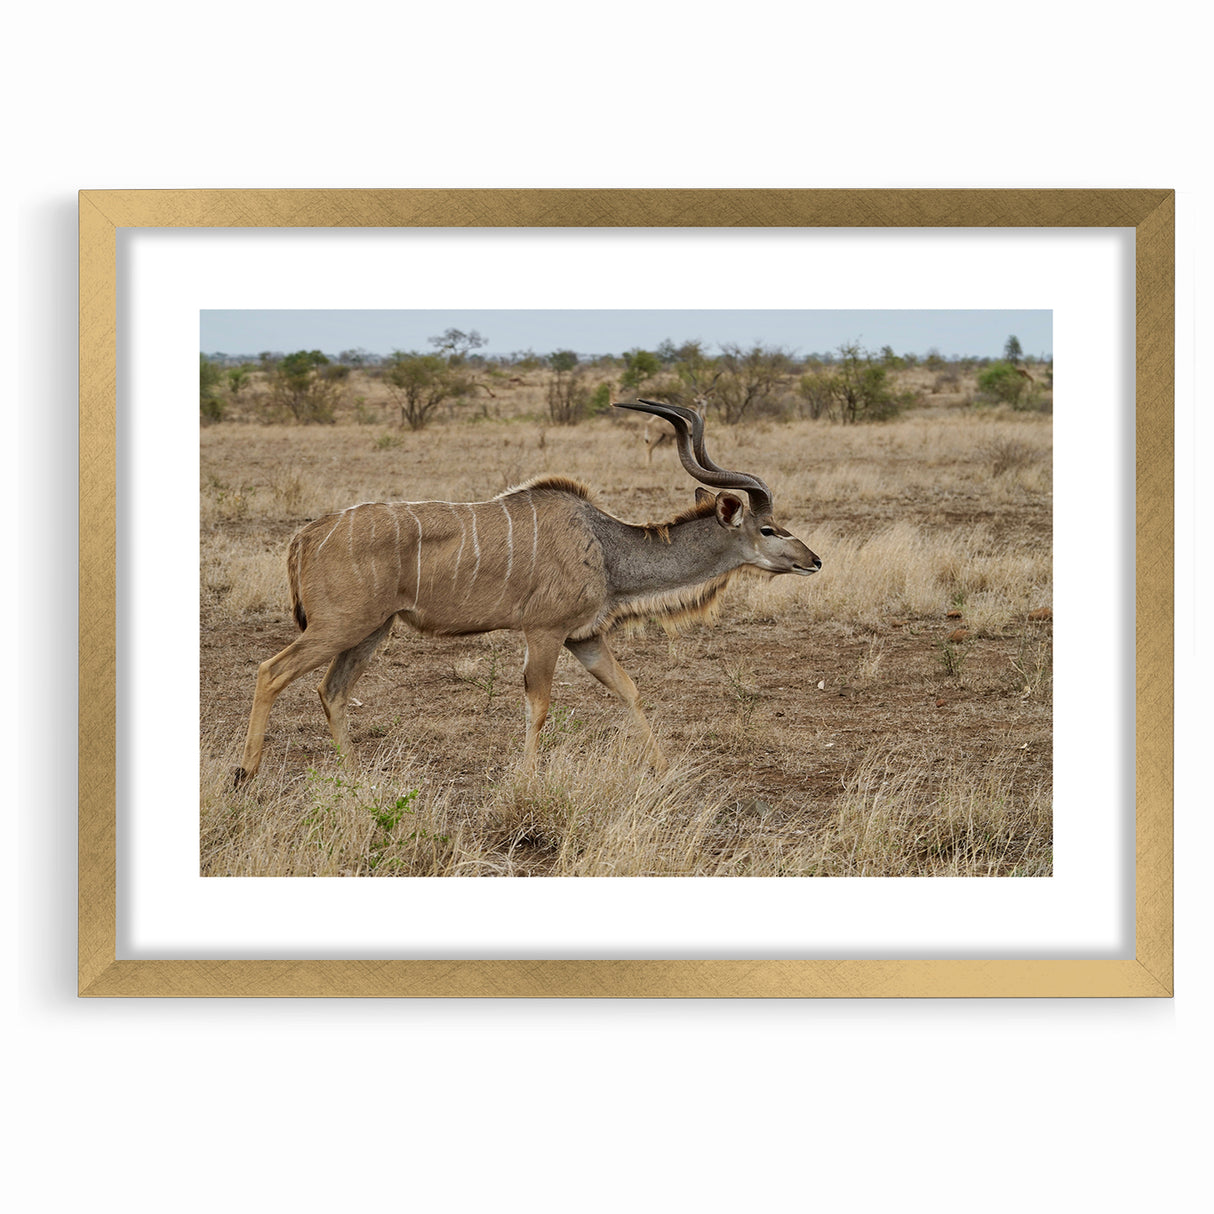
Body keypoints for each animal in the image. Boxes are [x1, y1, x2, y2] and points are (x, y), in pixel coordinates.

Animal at [235, 400, 821, 784]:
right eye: (769, 529)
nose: (813, 561)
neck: (606, 546)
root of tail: (305, 535)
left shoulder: (584, 638)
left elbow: (629, 689)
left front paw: (663, 766)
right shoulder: (544, 632)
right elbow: (538, 705)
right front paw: (530, 779)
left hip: (372, 630)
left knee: (331, 691)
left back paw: (355, 781)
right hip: (340, 626)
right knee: (271, 671)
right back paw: (246, 775)